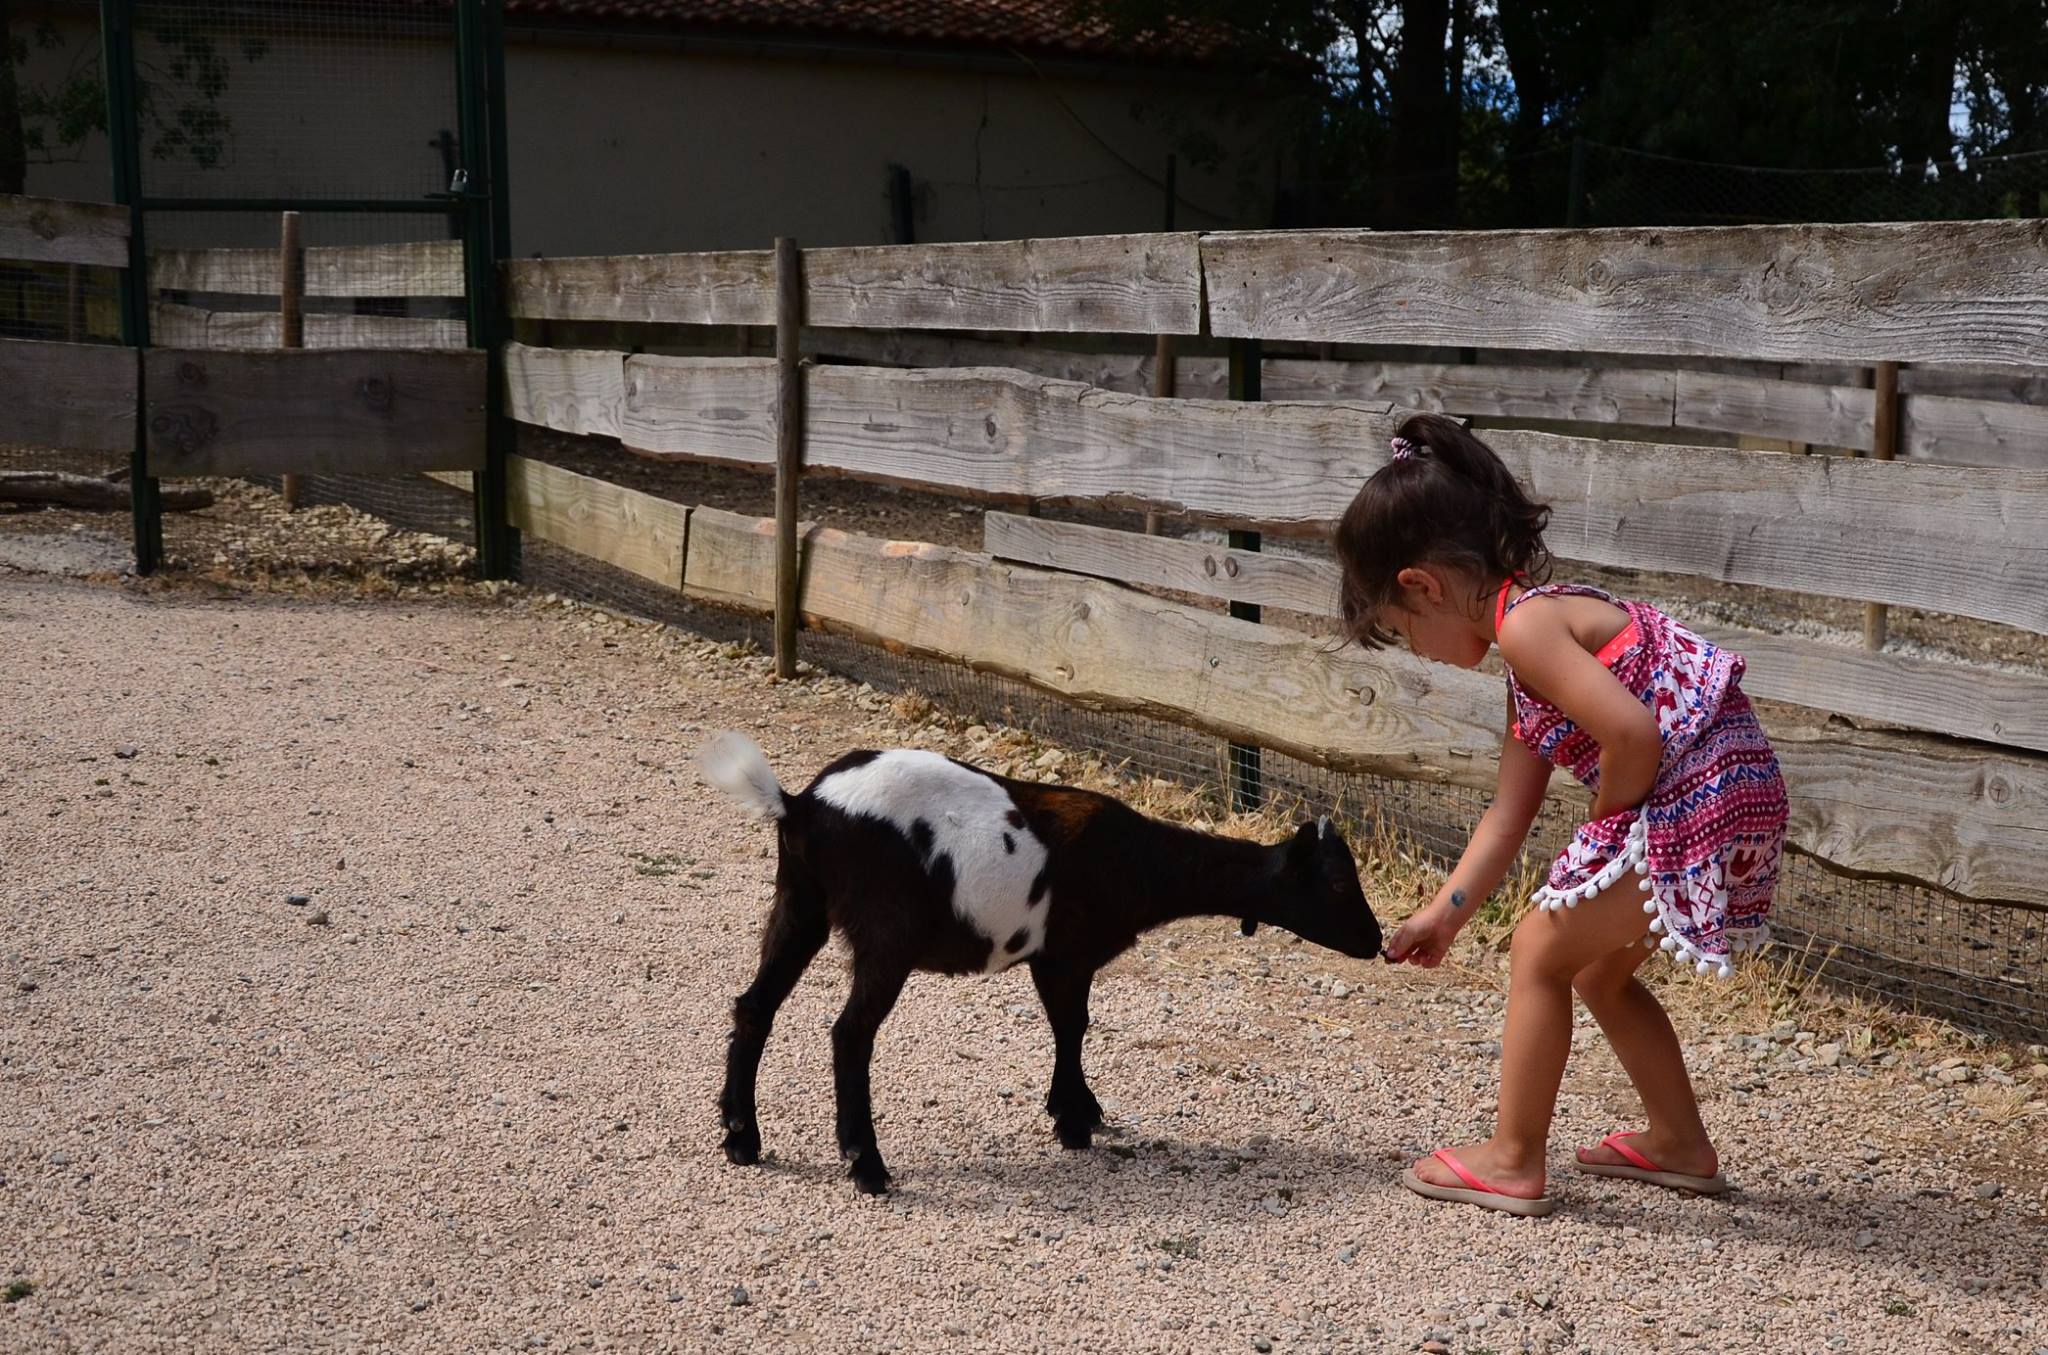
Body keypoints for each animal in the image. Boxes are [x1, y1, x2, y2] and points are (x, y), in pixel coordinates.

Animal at [696, 736, 1384, 1195]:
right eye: (1338, 885)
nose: (1376, 940)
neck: (1140, 862)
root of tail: (801, 805)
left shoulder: (1054, 957)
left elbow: (1066, 1028)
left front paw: (1076, 1110)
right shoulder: (1067, 952)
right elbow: (1072, 1027)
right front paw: (1075, 1121)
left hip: (800, 901)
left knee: (755, 1005)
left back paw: (741, 1138)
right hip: (885, 930)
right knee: (850, 1034)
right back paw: (866, 1165)